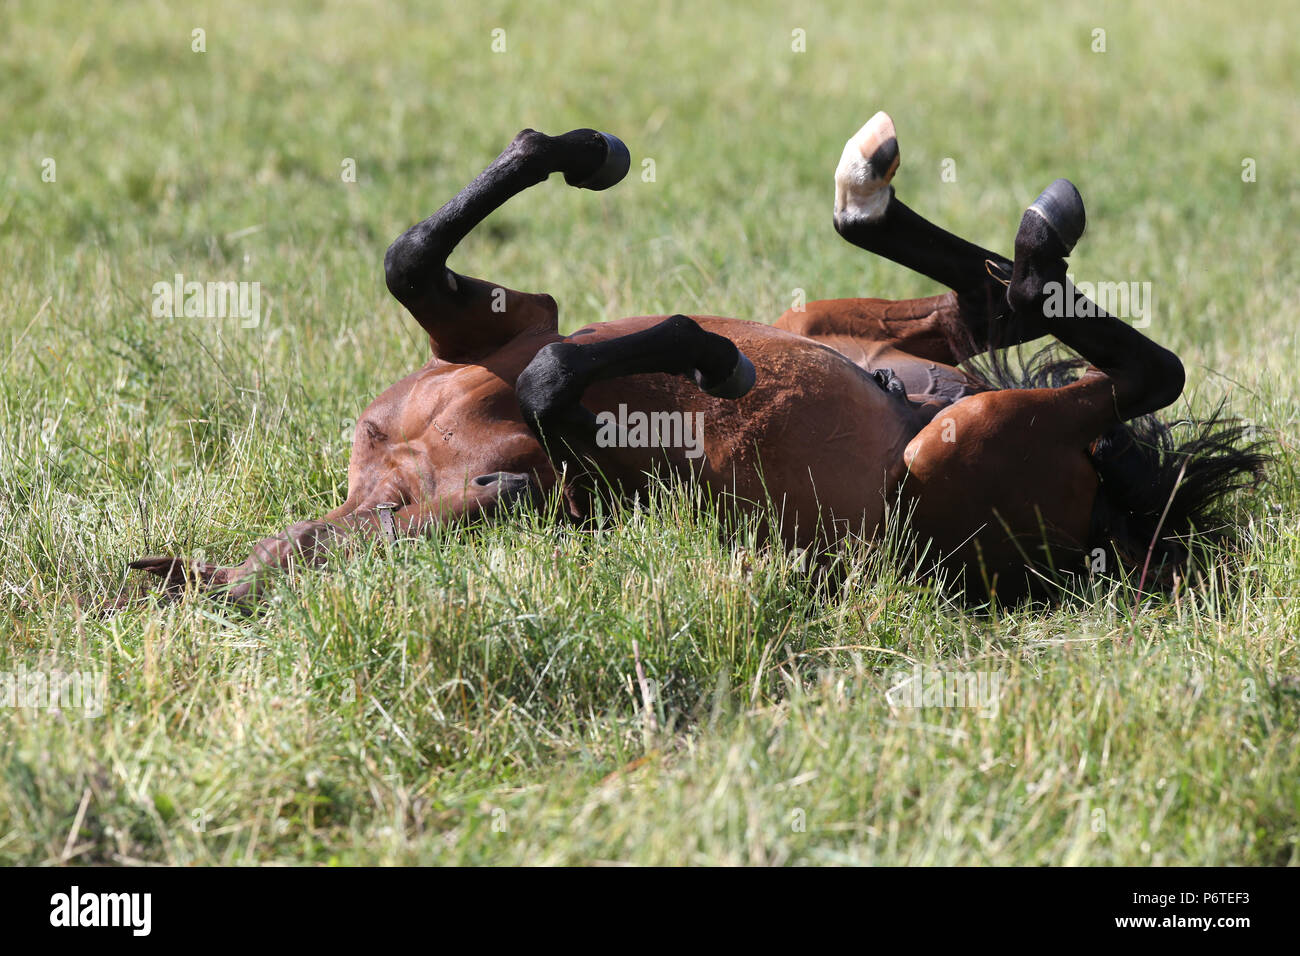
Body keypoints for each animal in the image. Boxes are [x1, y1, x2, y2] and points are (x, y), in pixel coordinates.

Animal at [129, 113, 1258, 606]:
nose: (514, 492)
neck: (417, 468)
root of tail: (1120, 514)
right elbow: (554, 381)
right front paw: (704, 358)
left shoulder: (491, 328)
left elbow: (416, 256)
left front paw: (581, 152)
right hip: (958, 448)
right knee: (1140, 367)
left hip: (830, 323)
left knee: (988, 302)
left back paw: (916, 205)